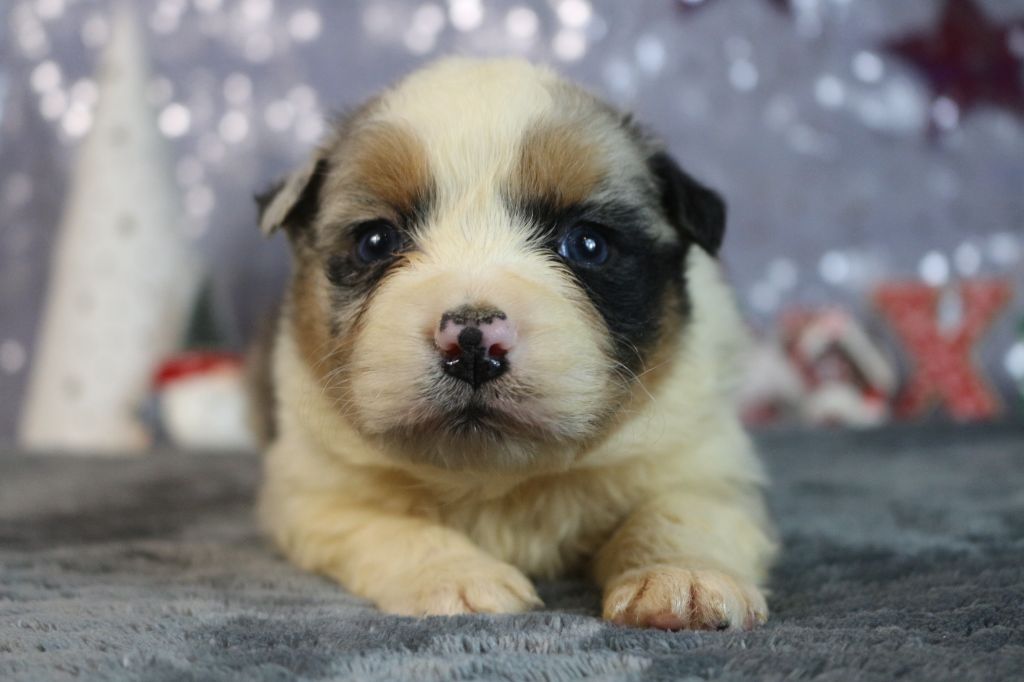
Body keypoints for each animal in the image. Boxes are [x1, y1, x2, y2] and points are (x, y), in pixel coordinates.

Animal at [256, 57, 774, 626]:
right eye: (375, 242)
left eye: (587, 244)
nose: (472, 345)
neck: (500, 478)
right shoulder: (315, 490)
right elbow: (392, 528)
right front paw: (460, 580)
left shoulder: (704, 465)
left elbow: (676, 512)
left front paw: (682, 579)